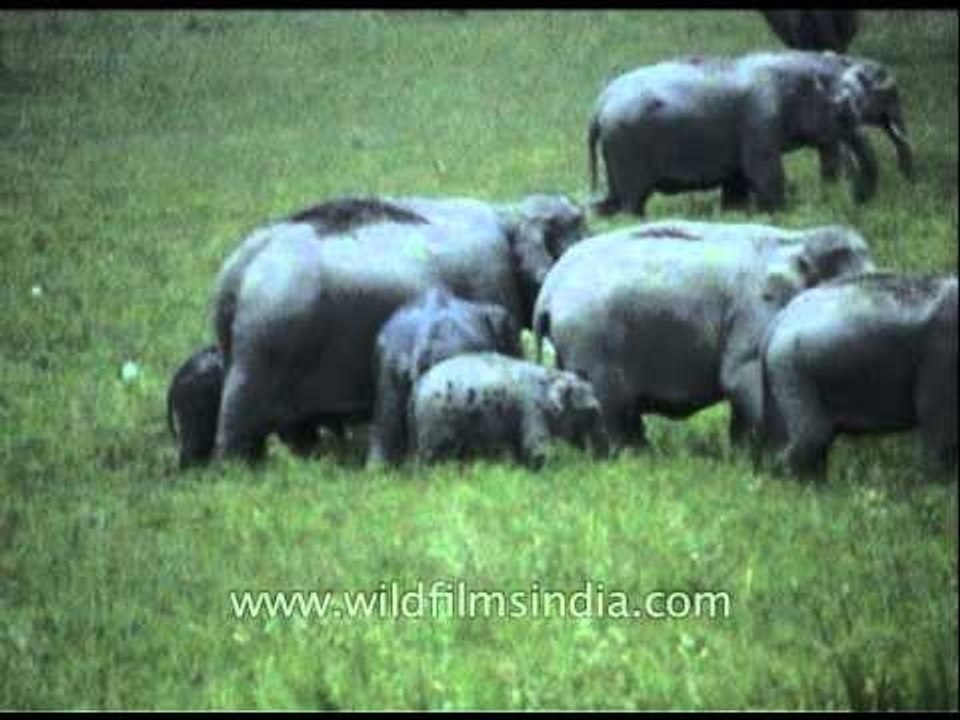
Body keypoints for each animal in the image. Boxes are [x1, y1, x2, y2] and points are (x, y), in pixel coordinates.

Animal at [409, 353, 610, 469]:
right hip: (433, 421)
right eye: (592, 412)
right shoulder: (532, 408)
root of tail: (418, 386)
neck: (551, 376)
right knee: (430, 457)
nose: (606, 459)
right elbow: (536, 448)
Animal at [532, 220, 875, 447]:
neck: (795, 239)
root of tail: (549, 289)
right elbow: (739, 376)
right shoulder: (754, 308)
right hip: (590, 342)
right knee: (611, 408)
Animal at [587, 50, 913, 216]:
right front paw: (781, 214)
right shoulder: (761, 118)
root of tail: (599, 104)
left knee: (612, 199)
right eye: (844, 112)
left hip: (616, 148)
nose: (857, 201)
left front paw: (735, 214)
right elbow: (762, 170)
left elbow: (738, 178)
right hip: (626, 146)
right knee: (632, 202)